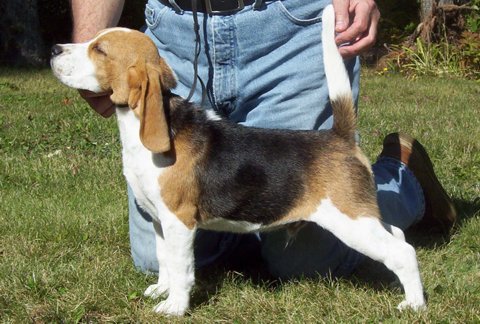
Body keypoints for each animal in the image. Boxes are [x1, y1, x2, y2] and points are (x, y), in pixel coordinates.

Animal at [50, 5, 426, 316]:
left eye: (100, 50)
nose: (54, 49)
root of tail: (339, 137)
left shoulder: (179, 221)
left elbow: (181, 268)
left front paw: (174, 307)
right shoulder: (158, 219)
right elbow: (163, 260)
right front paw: (161, 290)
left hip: (349, 220)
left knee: (403, 252)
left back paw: (414, 304)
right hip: (360, 218)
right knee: (397, 235)